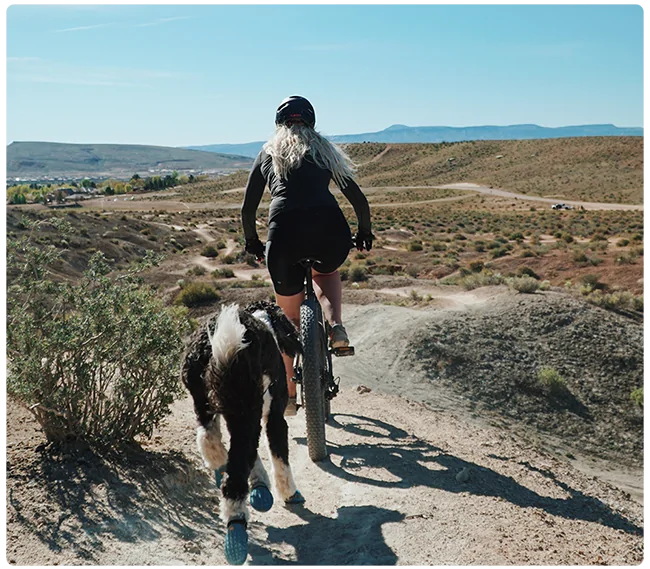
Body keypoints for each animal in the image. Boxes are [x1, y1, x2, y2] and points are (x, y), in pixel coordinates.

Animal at [180, 300, 304, 564]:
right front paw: (289, 492)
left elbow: (254, 455)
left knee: (209, 439)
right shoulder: (273, 417)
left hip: (205, 402)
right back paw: (235, 530)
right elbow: (279, 457)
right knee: (235, 474)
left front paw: (261, 488)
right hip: (246, 406)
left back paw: (219, 466)